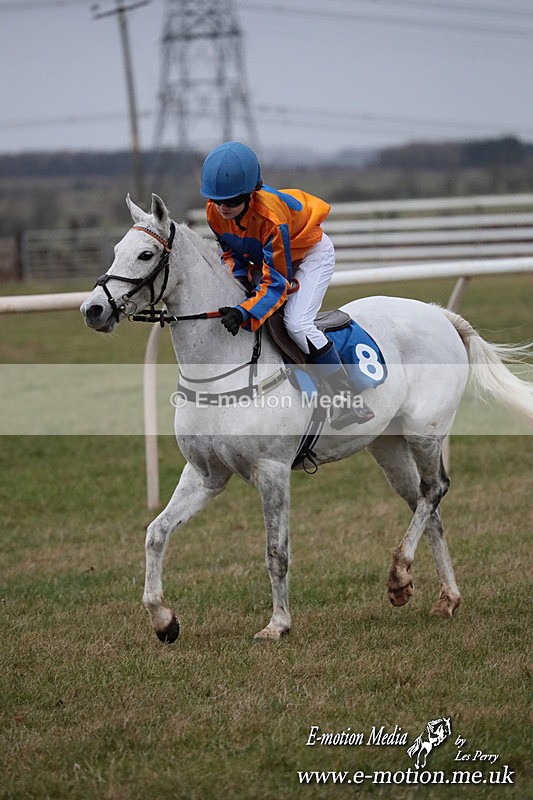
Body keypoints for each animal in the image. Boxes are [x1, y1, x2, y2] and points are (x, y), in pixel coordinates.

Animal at [80, 194, 533, 643]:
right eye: (116, 250)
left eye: (146, 254)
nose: (93, 309)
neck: (222, 365)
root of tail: (440, 315)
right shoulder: (206, 473)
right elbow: (156, 533)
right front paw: (163, 619)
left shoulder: (273, 470)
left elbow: (276, 552)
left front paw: (277, 624)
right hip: (387, 446)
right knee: (427, 505)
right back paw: (443, 596)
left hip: (426, 432)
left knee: (436, 489)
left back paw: (399, 574)